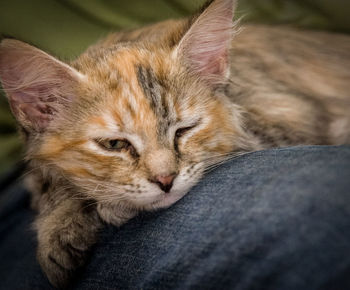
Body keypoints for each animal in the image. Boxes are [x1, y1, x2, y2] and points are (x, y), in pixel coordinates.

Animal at [0, 0, 350, 286]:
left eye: (183, 130)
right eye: (114, 145)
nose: (166, 180)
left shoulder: (288, 115)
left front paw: (98, 209)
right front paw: (59, 223)